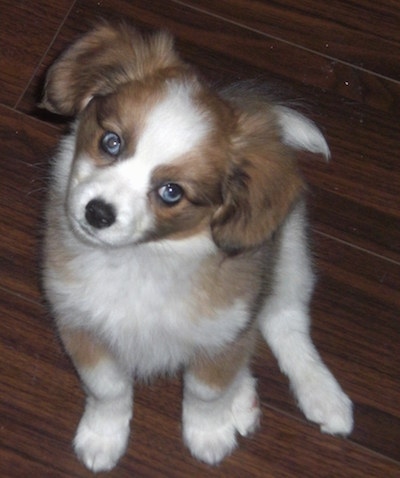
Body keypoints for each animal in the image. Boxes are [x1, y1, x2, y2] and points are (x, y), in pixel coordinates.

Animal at [41, 24, 354, 472]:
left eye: (171, 192)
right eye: (111, 142)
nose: (97, 213)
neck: (143, 259)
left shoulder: (225, 325)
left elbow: (206, 391)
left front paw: (208, 433)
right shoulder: (80, 323)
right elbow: (108, 389)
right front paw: (103, 437)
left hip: (291, 257)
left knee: (284, 322)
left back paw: (322, 395)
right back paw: (245, 396)